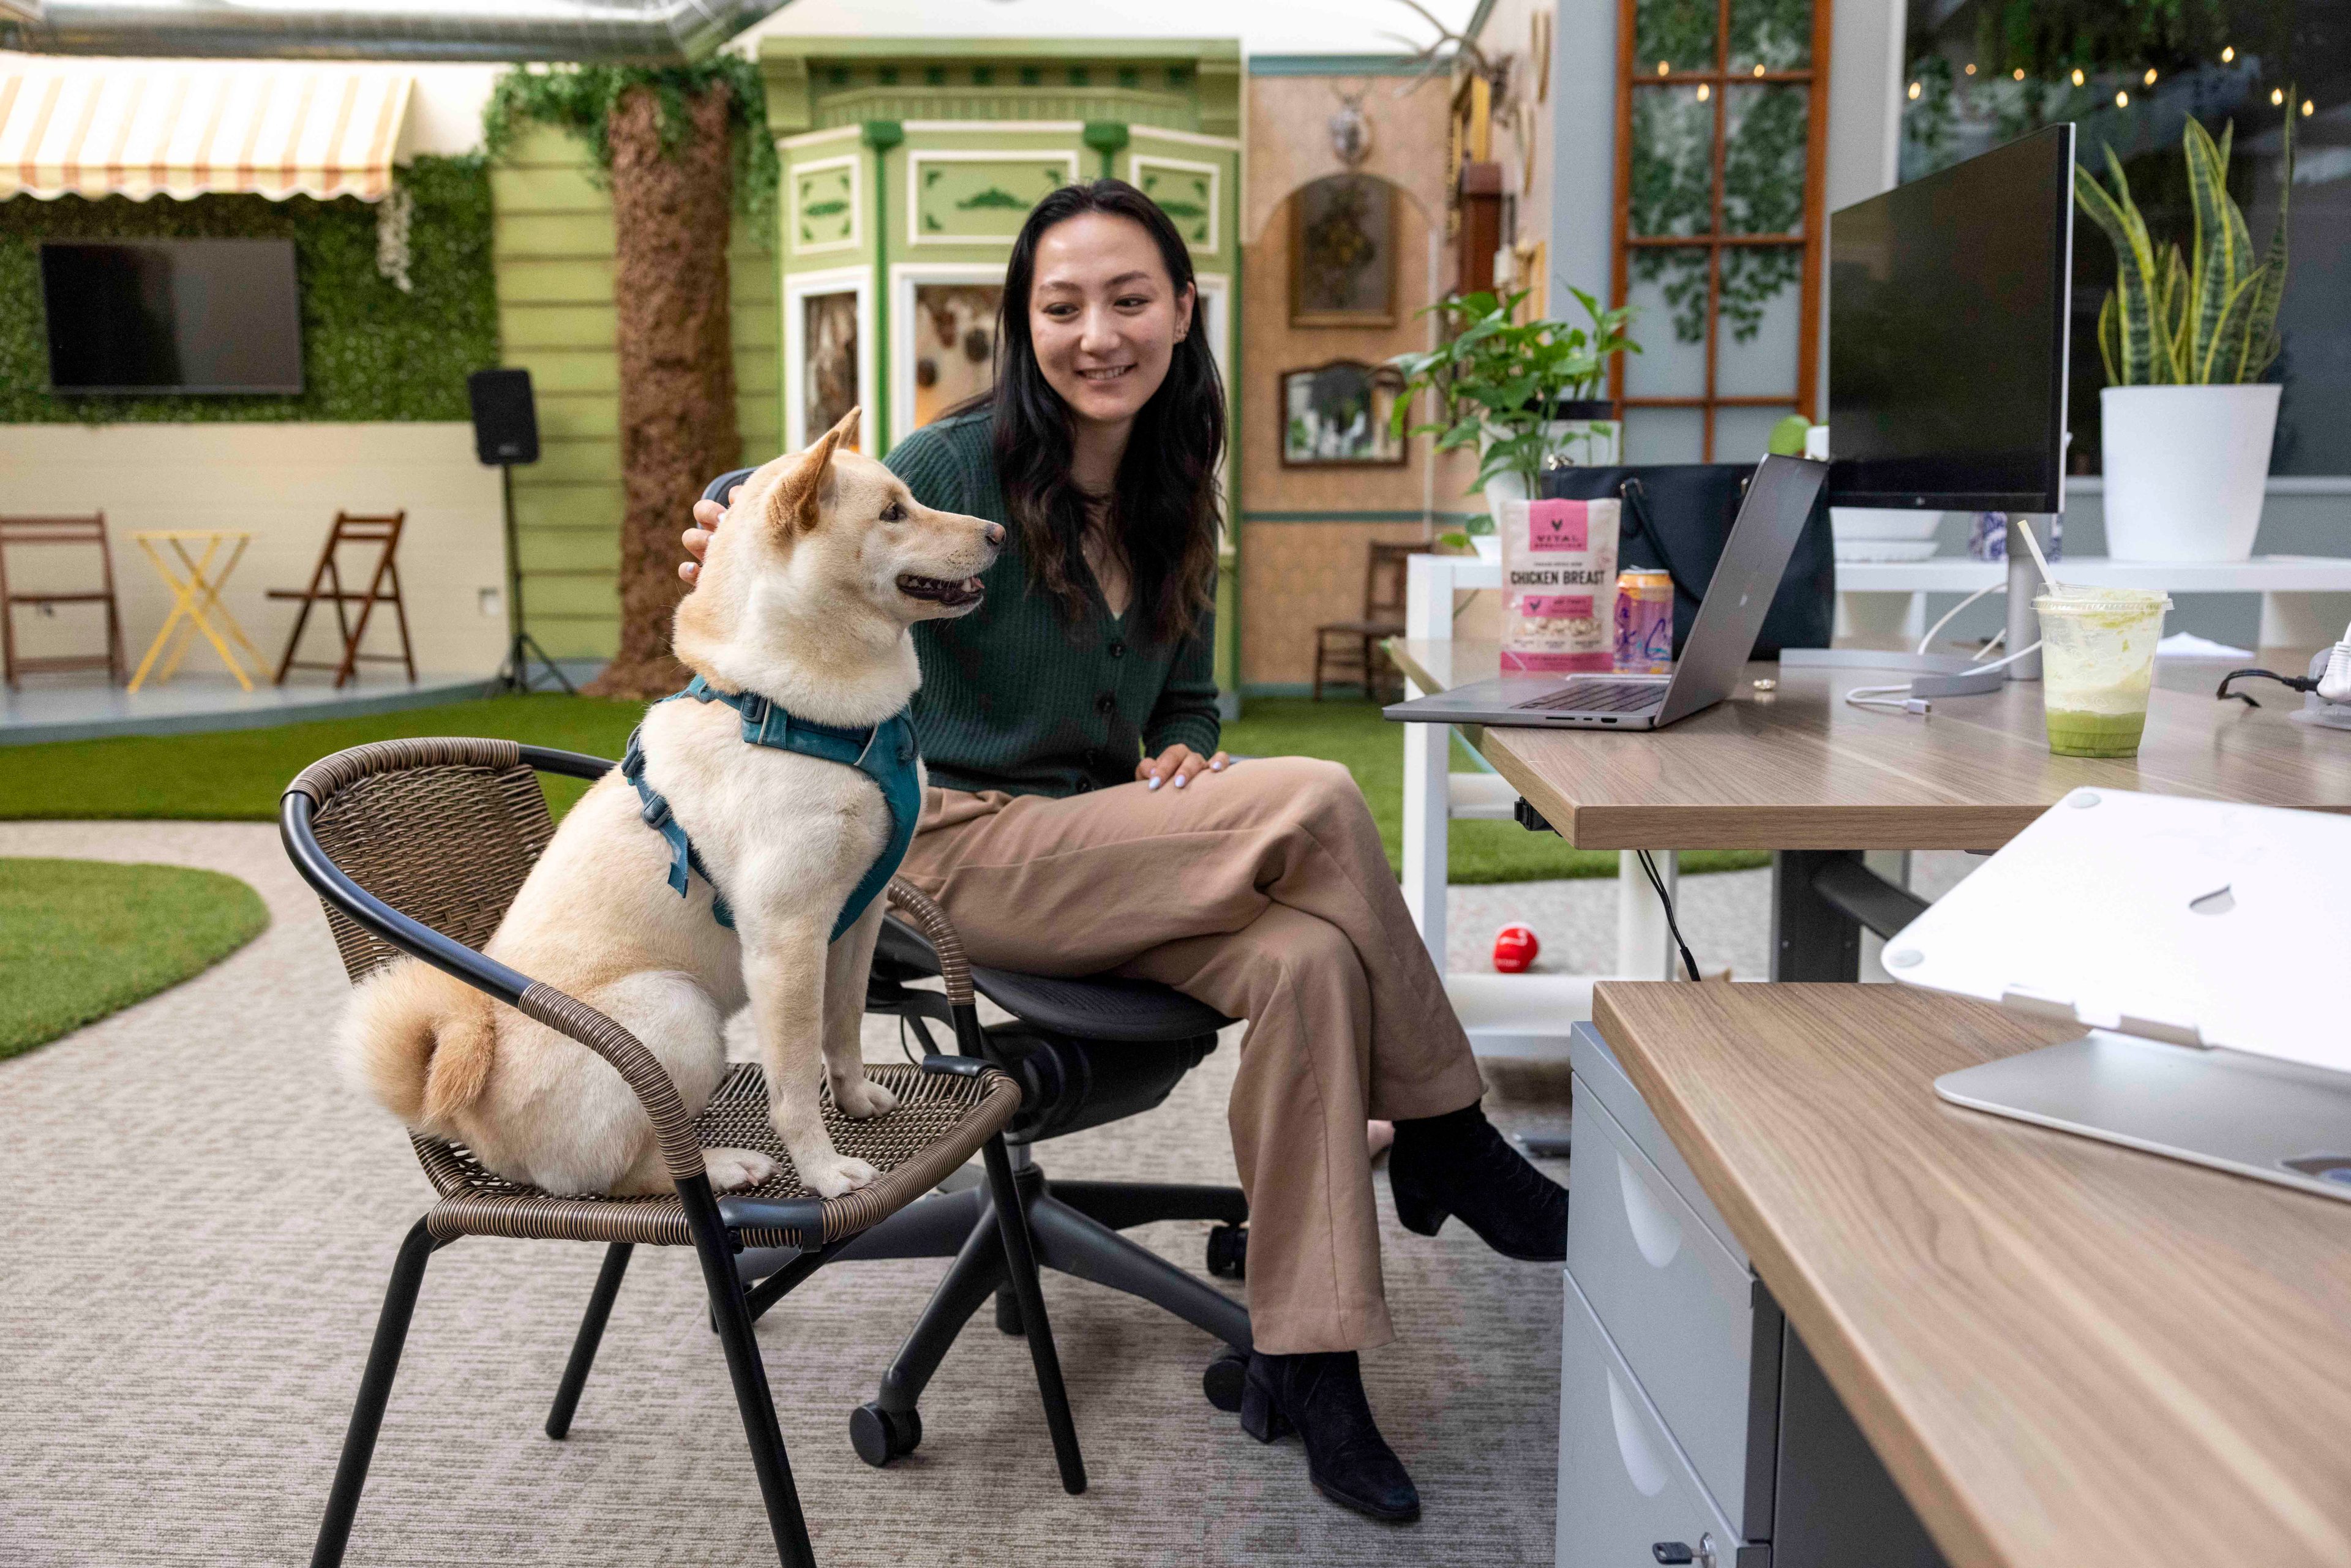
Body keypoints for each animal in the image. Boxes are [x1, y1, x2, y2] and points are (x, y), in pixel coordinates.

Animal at [336, 413, 997, 1203]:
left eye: (911, 500)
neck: (786, 712)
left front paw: (857, 1100)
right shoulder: (787, 938)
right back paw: (726, 1164)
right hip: (679, 1010)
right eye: (894, 512)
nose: (998, 531)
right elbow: (793, 1083)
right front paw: (822, 1169)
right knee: (633, 1172)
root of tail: (472, 1116)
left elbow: (841, 1031)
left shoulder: (857, 918)